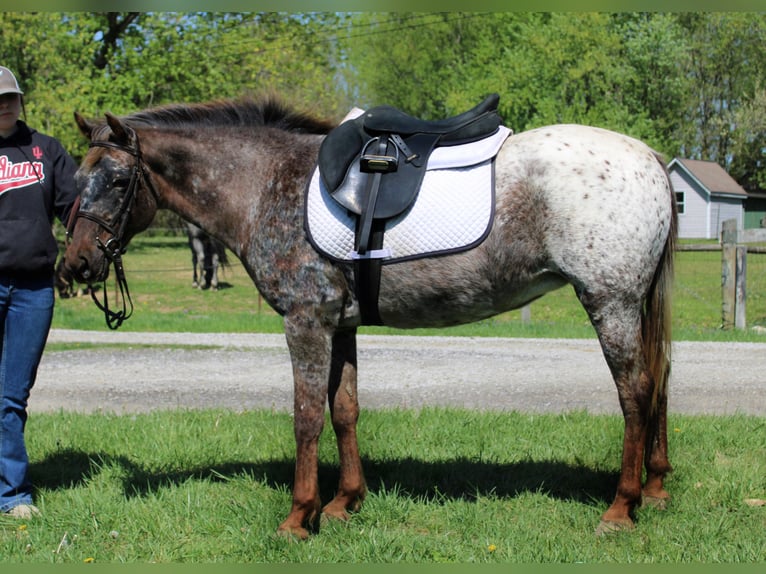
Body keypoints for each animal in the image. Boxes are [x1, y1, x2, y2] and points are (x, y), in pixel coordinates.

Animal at [64, 97, 680, 544]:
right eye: (78, 177)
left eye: (117, 181)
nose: (76, 263)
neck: (268, 183)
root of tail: (650, 157)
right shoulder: (342, 324)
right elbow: (345, 409)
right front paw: (345, 502)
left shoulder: (306, 322)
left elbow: (307, 416)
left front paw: (300, 517)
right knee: (660, 383)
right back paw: (655, 489)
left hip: (610, 302)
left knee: (635, 392)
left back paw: (621, 508)